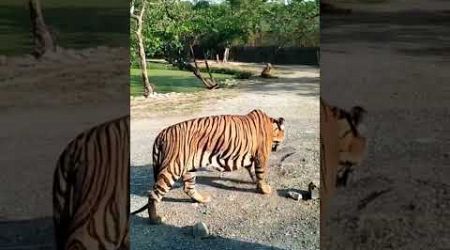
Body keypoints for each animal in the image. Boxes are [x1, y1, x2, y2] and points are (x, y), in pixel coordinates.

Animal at [130, 109, 284, 223]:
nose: (278, 149)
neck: (271, 125)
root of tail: (161, 134)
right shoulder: (261, 156)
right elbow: (261, 173)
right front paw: (265, 189)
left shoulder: (250, 159)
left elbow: (253, 173)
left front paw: (256, 184)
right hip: (173, 168)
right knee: (154, 194)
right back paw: (155, 218)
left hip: (189, 168)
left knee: (188, 188)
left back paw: (202, 199)